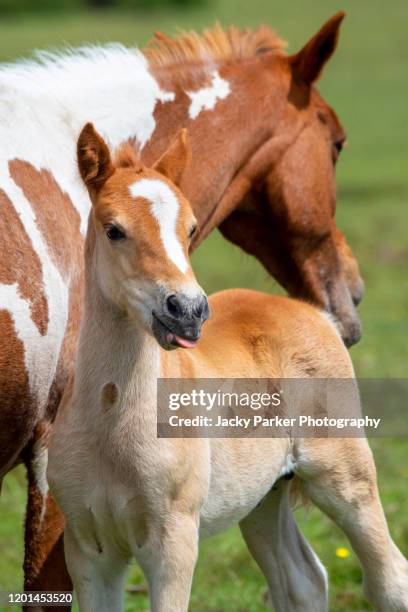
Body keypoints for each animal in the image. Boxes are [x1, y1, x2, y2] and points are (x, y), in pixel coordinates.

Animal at [48, 125, 408, 612]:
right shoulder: (89, 550)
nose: (187, 310)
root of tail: (314, 313)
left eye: (191, 228)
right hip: (263, 497)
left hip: (345, 475)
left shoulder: (173, 541)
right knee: (303, 580)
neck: (111, 419)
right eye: (114, 230)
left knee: (389, 579)